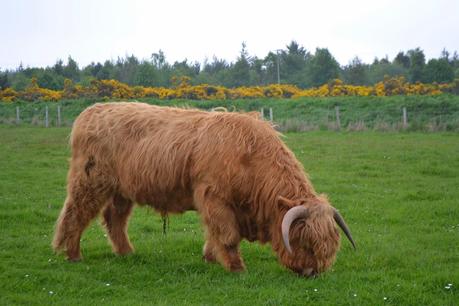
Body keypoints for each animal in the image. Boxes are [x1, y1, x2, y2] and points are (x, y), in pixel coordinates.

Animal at [54, 103, 356, 278]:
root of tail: (89, 112)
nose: (312, 273)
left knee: (114, 219)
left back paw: (127, 252)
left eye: (329, 247)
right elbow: (227, 235)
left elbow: (216, 234)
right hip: (90, 182)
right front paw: (236, 268)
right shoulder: (215, 197)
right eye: (304, 241)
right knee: (75, 214)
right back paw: (73, 255)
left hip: (122, 191)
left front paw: (210, 257)